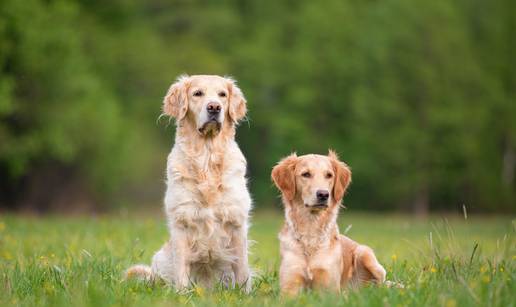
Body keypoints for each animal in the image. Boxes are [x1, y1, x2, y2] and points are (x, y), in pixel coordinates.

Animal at [127, 74, 252, 292]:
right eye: (197, 93)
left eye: (222, 94)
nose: (214, 107)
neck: (207, 158)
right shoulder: (182, 220)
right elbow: (181, 265)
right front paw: (181, 294)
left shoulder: (237, 220)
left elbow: (242, 268)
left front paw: (245, 294)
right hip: (160, 259)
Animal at [270, 153, 388, 298]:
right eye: (306, 174)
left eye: (329, 175)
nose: (323, 194)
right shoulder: (289, 286)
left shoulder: (329, 288)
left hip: (365, 253)